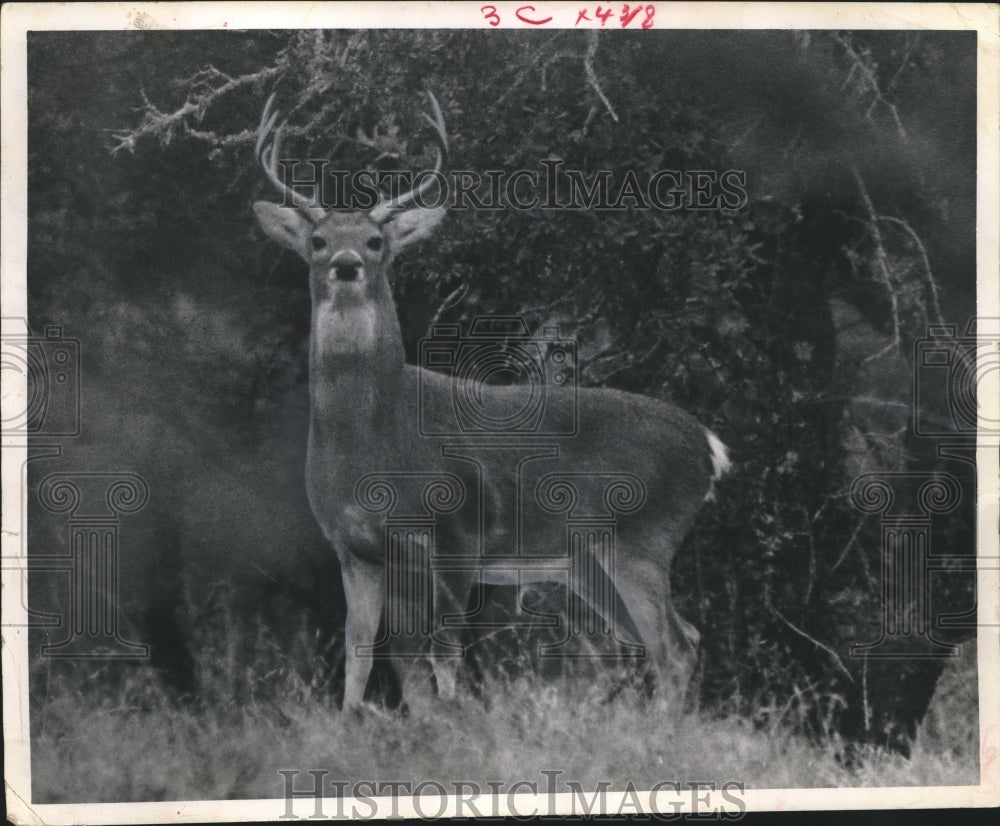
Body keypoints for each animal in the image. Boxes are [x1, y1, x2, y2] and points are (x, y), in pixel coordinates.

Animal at [252, 92, 731, 711]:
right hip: (588, 563)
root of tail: (709, 448)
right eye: (317, 241)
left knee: (674, 645)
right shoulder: (353, 548)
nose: (347, 263)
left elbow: (440, 651)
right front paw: (355, 722)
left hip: (642, 535)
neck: (378, 438)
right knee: (677, 638)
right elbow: (363, 654)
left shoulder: (456, 532)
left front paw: (454, 717)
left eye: (377, 242)